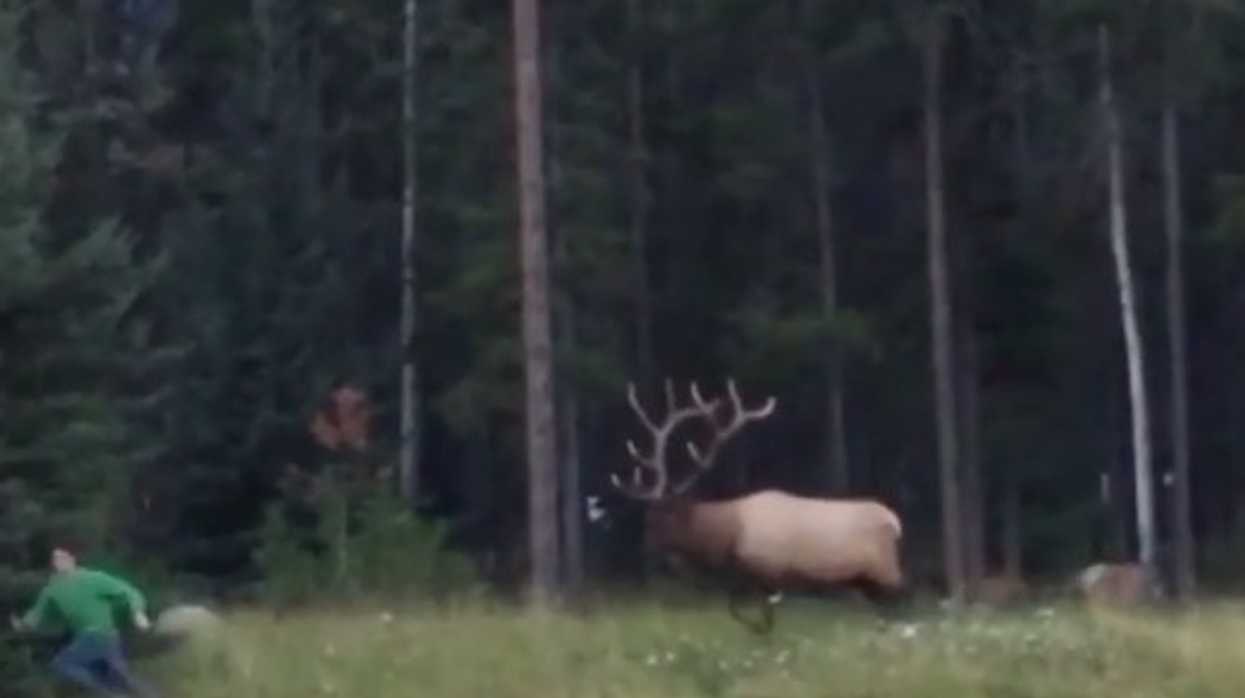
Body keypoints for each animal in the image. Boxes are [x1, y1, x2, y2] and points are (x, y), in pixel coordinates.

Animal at [610, 378, 906, 632]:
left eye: (659, 517)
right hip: (862, 583)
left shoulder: (768, 570)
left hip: (885, 573)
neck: (729, 537)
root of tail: (895, 523)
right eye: (647, 517)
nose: (644, 548)